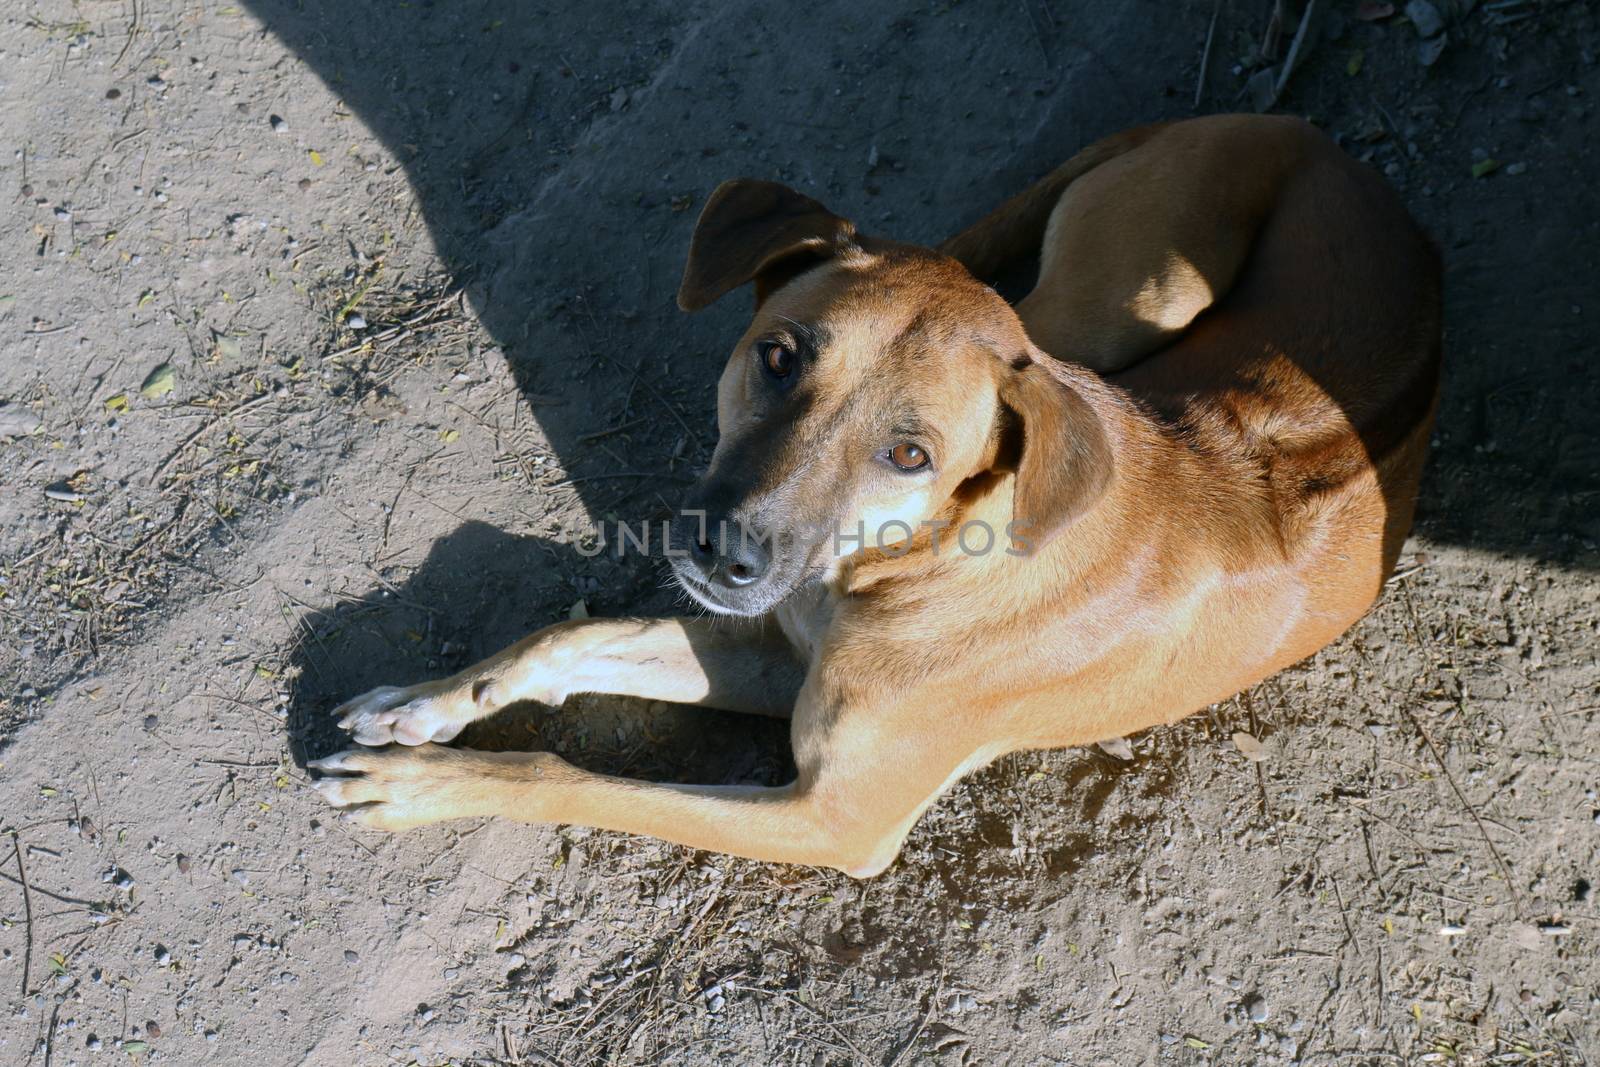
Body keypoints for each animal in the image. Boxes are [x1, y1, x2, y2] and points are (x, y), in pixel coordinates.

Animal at [308, 115, 1440, 876]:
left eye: (908, 452)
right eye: (776, 355)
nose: (724, 553)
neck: (922, 555)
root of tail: (1300, 129)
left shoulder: (832, 818)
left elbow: (570, 777)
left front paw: (429, 784)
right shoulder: (779, 649)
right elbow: (567, 637)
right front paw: (425, 705)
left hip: (1119, 306)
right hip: (1095, 313)